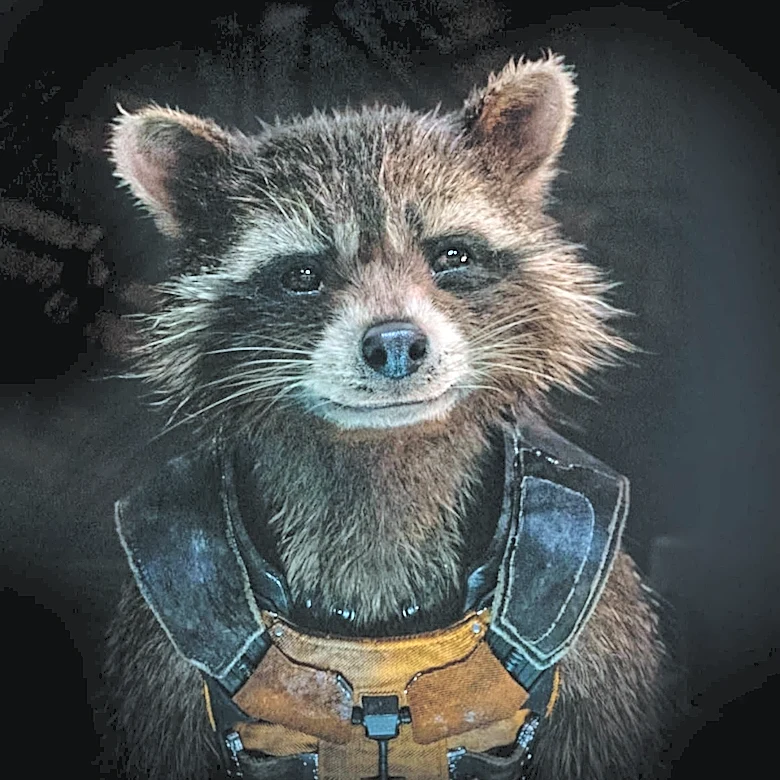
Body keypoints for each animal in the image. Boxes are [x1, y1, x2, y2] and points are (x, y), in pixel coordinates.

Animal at [102, 55, 667, 780]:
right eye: (303, 274)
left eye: (452, 255)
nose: (395, 342)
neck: (384, 455)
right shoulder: (160, 649)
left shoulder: (600, 631)